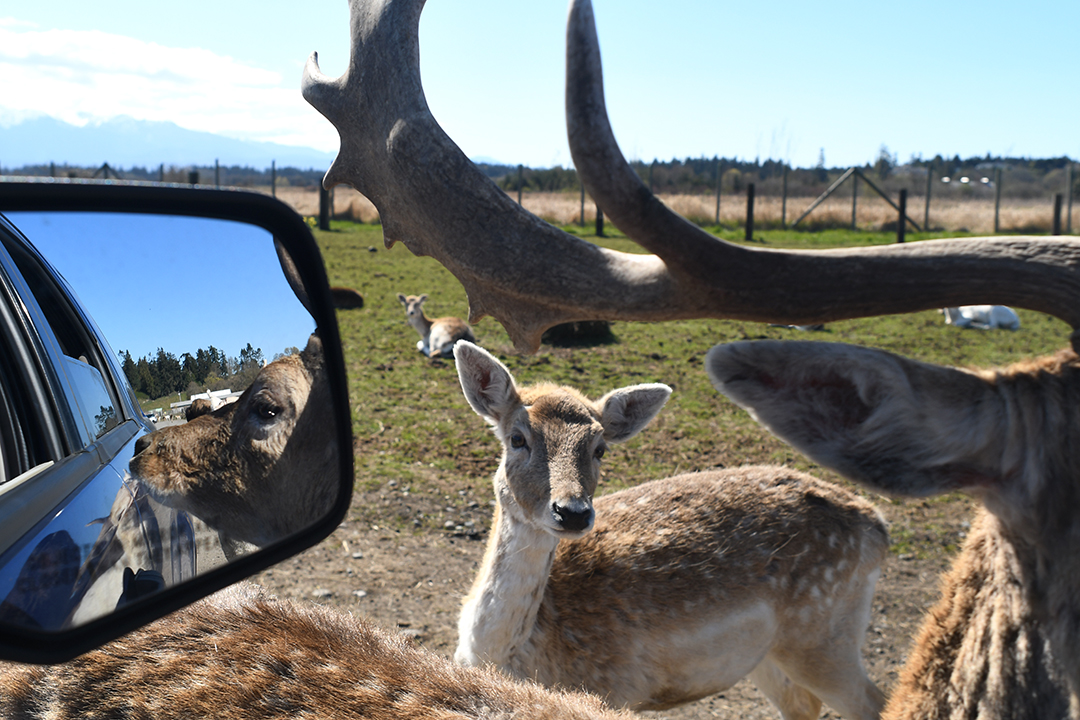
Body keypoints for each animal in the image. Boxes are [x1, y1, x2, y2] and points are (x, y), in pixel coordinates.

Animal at [453, 343, 885, 720]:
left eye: (599, 449)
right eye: (517, 438)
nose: (572, 512)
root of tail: (877, 524)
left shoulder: (614, 691)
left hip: (823, 633)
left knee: (873, 702)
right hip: (771, 653)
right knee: (803, 705)